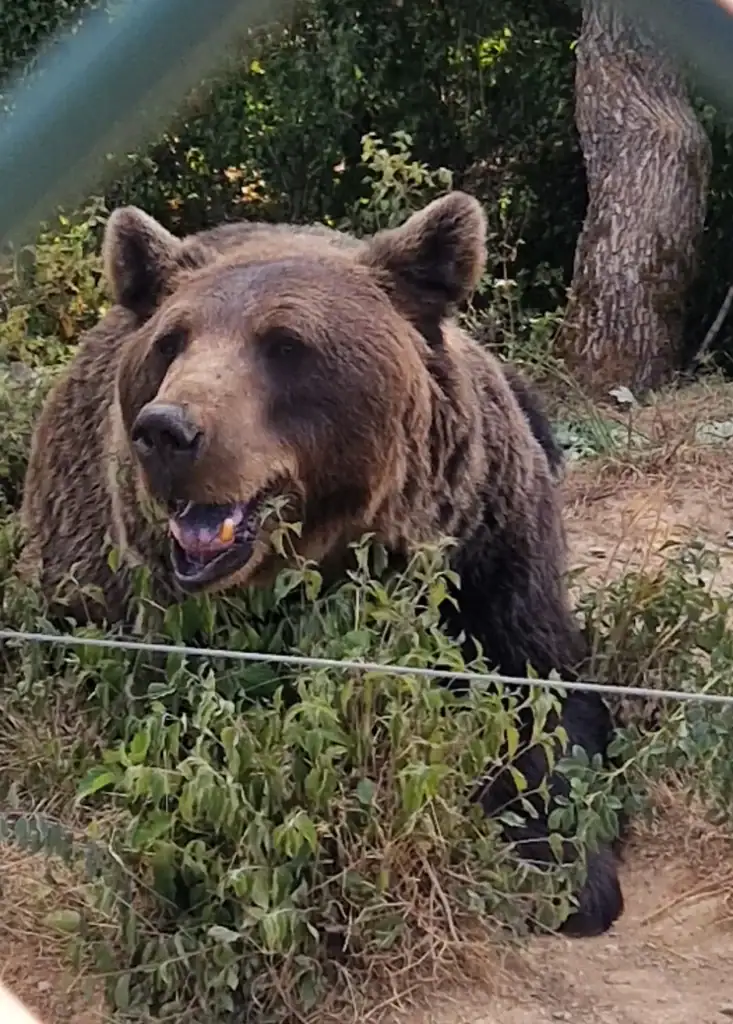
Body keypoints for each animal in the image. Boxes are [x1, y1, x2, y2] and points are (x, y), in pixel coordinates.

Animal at [18, 191, 623, 939]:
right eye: (171, 341)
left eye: (285, 345)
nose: (166, 430)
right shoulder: (161, 610)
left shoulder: (486, 546)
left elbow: (545, 690)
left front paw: (571, 873)